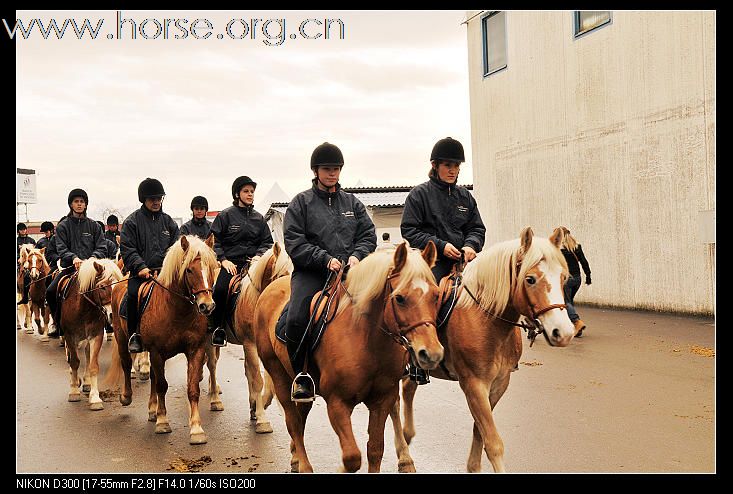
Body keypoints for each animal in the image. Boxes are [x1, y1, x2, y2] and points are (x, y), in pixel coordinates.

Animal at [57, 256, 124, 412]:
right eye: (103, 286)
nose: (113, 315)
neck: (83, 308)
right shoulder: (70, 336)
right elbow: (74, 362)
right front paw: (74, 391)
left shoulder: (95, 336)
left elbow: (93, 366)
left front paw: (95, 398)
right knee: (71, 357)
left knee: (87, 355)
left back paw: (87, 382)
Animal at [104, 233, 216, 446]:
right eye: (189, 269)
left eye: (213, 268)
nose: (207, 306)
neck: (177, 310)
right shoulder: (157, 352)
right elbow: (162, 385)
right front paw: (163, 422)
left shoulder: (195, 350)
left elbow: (192, 388)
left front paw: (196, 429)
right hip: (123, 339)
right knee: (126, 364)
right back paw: (126, 397)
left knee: (154, 377)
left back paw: (152, 409)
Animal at [202, 242, 294, 432]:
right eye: (282, 275)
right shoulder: (250, 344)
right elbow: (258, 379)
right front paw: (262, 419)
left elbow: (265, 381)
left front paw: (258, 406)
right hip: (209, 337)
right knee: (212, 365)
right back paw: (215, 399)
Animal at [254, 243, 444, 474]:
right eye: (399, 298)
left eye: (436, 295)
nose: (431, 353)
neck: (367, 340)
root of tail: (270, 288)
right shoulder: (337, 403)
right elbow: (352, 457)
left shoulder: (382, 401)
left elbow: (375, 450)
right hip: (278, 374)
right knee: (293, 422)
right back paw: (304, 465)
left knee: (301, 415)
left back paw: (296, 457)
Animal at [392, 226, 576, 472]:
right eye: (530, 279)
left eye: (563, 278)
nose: (564, 332)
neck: (486, 320)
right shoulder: (474, 384)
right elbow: (493, 442)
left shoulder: (498, 384)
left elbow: (479, 431)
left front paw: (473, 466)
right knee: (392, 404)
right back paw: (404, 458)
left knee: (408, 388)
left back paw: (408, 435)